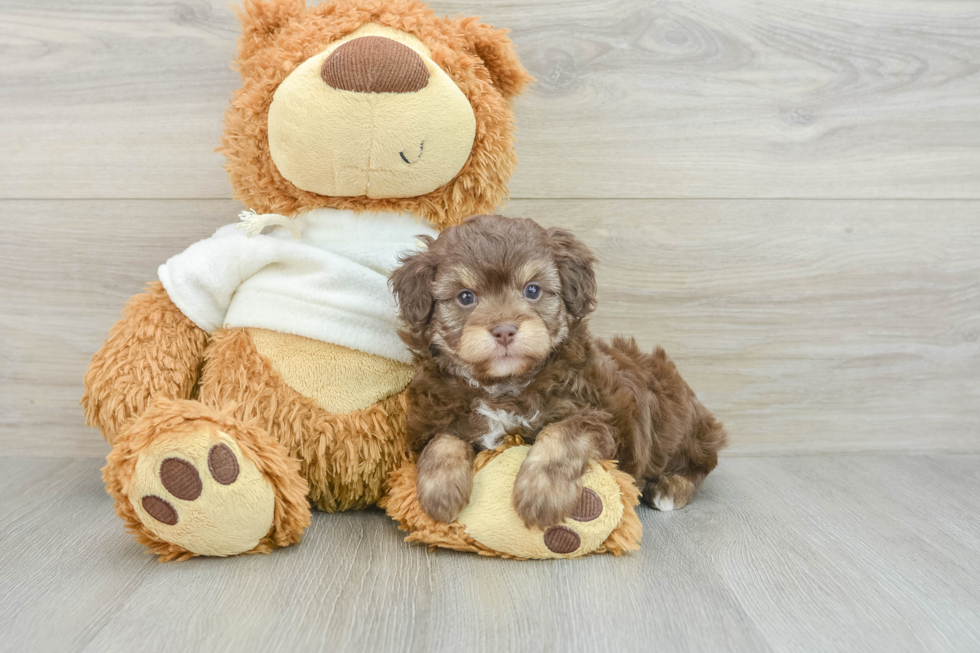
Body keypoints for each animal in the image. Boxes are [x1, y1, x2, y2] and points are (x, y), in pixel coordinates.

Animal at [390, 216, 728, 528]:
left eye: (532, 290)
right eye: (465, 297)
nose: (504, 330)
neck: (503, 387)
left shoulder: (604, 420)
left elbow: (562, 434)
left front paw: (541, 495)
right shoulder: (439, 414)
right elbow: (442, 440)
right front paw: (439, 491)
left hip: (678, 422)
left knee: (701, 462)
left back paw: (671, 487)